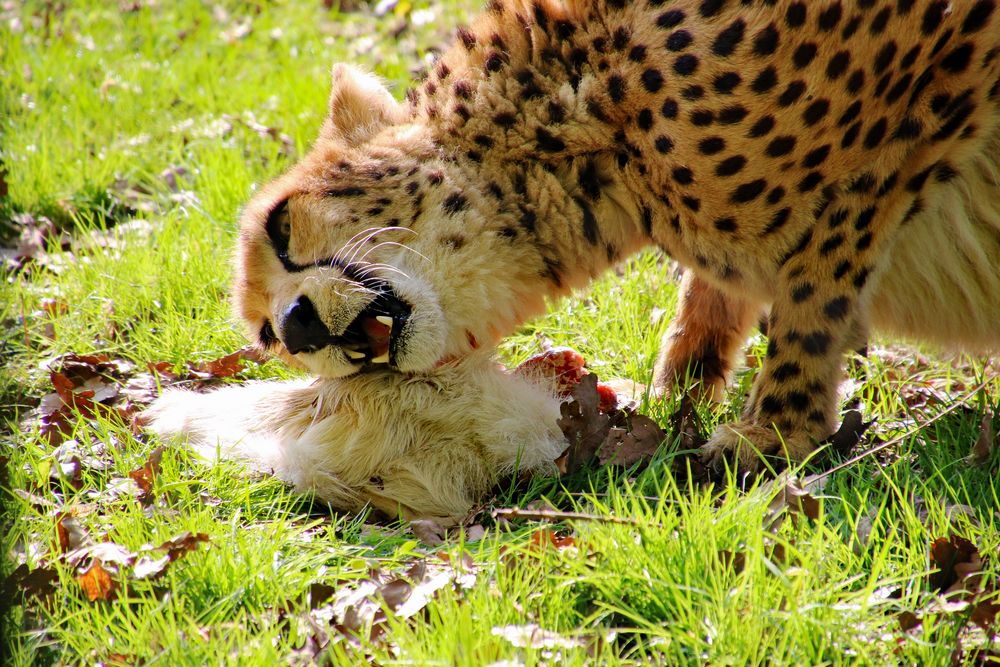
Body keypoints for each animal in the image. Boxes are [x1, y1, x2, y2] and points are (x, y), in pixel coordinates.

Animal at [229, 0, 1000, 472]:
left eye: (283, 224)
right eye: (268, 339)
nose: (297, 326)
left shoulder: (899, 125)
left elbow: (814, 293)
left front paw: (775, 432)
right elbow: (720, 290)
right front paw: (681, 389)